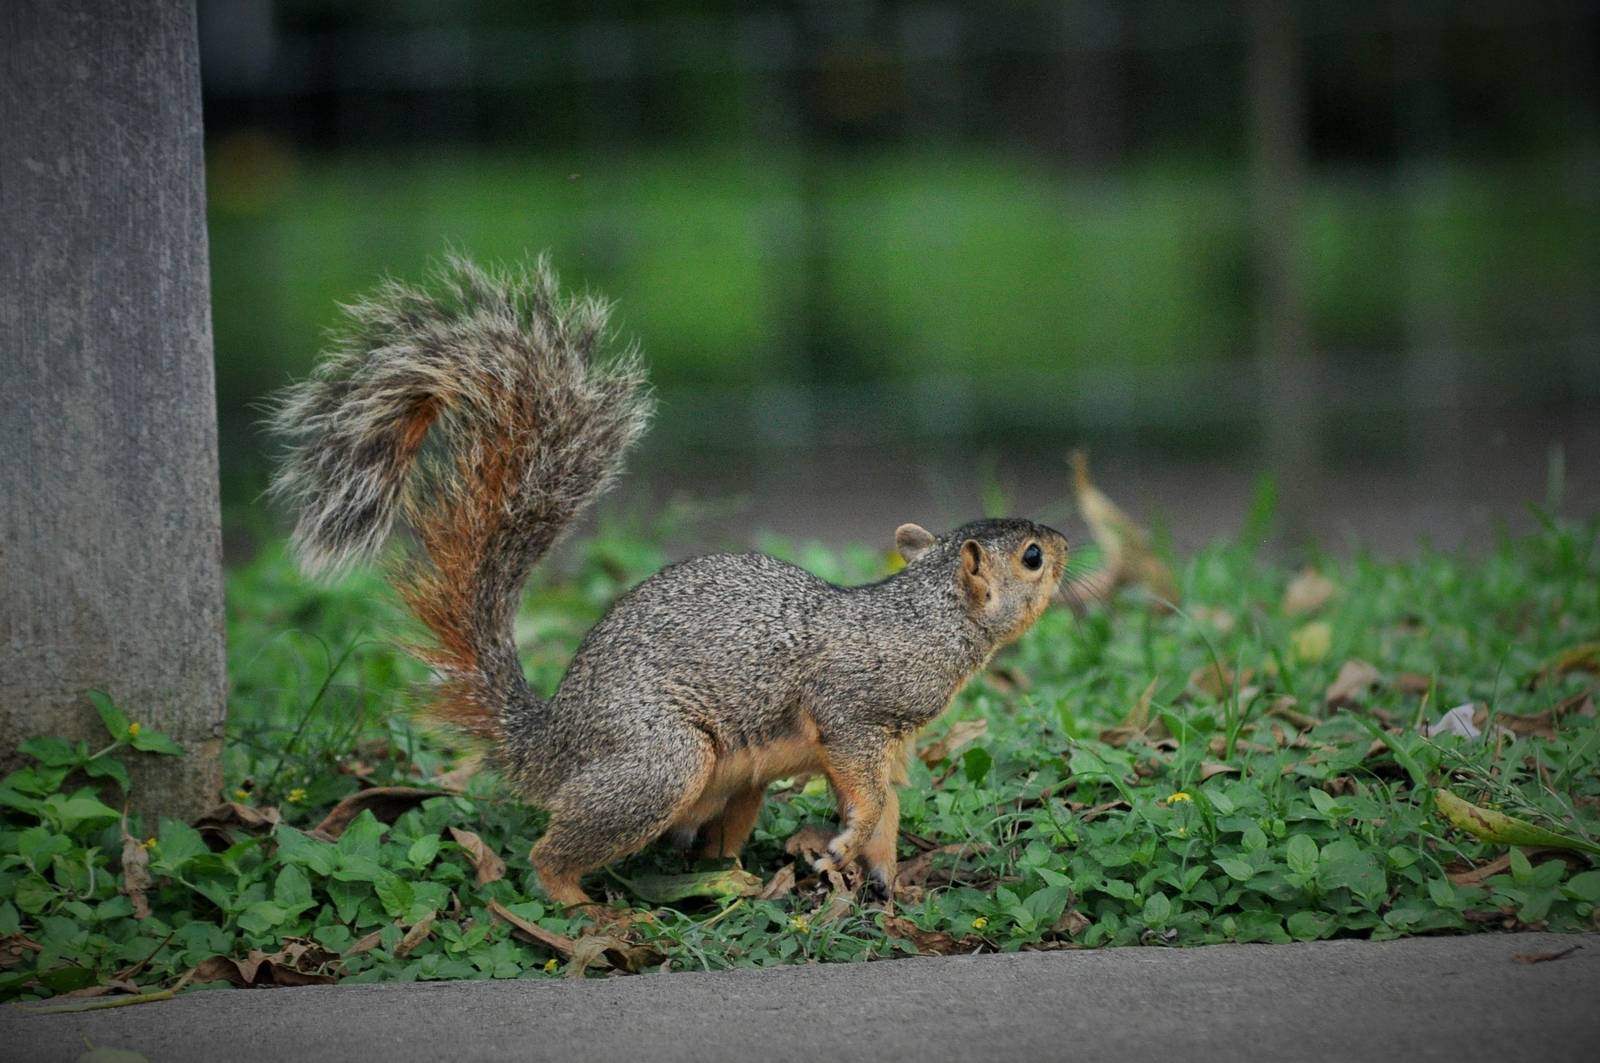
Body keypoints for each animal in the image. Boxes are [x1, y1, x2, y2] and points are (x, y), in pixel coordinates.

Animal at [271, 255, 1068, 906]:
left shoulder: (893, 742)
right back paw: (590, 910)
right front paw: (846, 845)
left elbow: (891, 808)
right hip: (662, 760)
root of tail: (550, 746)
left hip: (735, 781)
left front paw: (883, 874)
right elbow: (866, 792)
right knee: (552, 852)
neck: (930, 614)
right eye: (1031, 557)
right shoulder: (853, 708)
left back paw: (731, 875)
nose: (1065, 542)